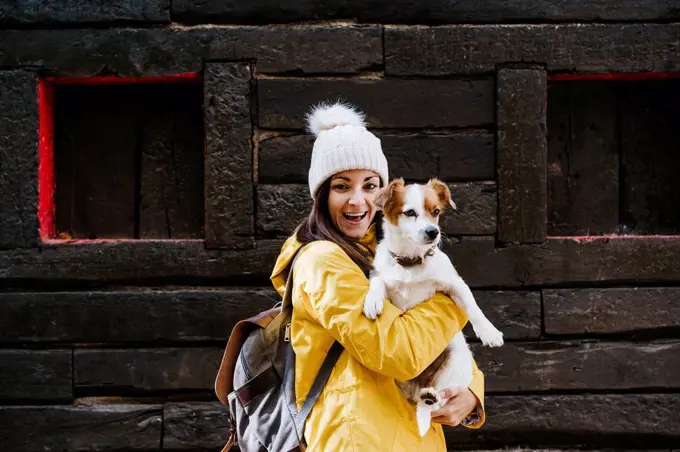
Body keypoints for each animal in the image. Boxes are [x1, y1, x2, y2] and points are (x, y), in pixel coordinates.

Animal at [364, 177, 502, 438]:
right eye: (410, 212)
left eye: (436, 212)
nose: (433, 232)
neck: (410, 263)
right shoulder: (382, 276)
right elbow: (377, 281)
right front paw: (372, 300)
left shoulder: (454, 282)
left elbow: (473, 304)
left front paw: (489, 332)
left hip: (454, 360)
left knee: (437, 402)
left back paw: (431, 396)